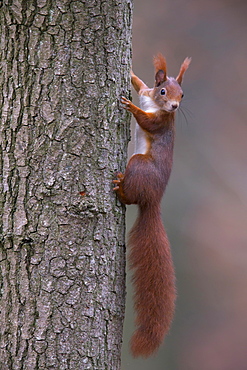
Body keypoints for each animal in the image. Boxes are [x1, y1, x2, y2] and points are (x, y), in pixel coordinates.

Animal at [113, 53, 190, 356]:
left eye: (183, 94)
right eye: (163, 91)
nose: (175, 106)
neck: (156, 105)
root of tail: (153, 200)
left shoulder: (161, 122)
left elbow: (147, 122)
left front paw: (131, 106)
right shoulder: (148, 91)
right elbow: (140, 84)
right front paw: (132, 75)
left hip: (138, 164)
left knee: (131, 196)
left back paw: (121, 189)